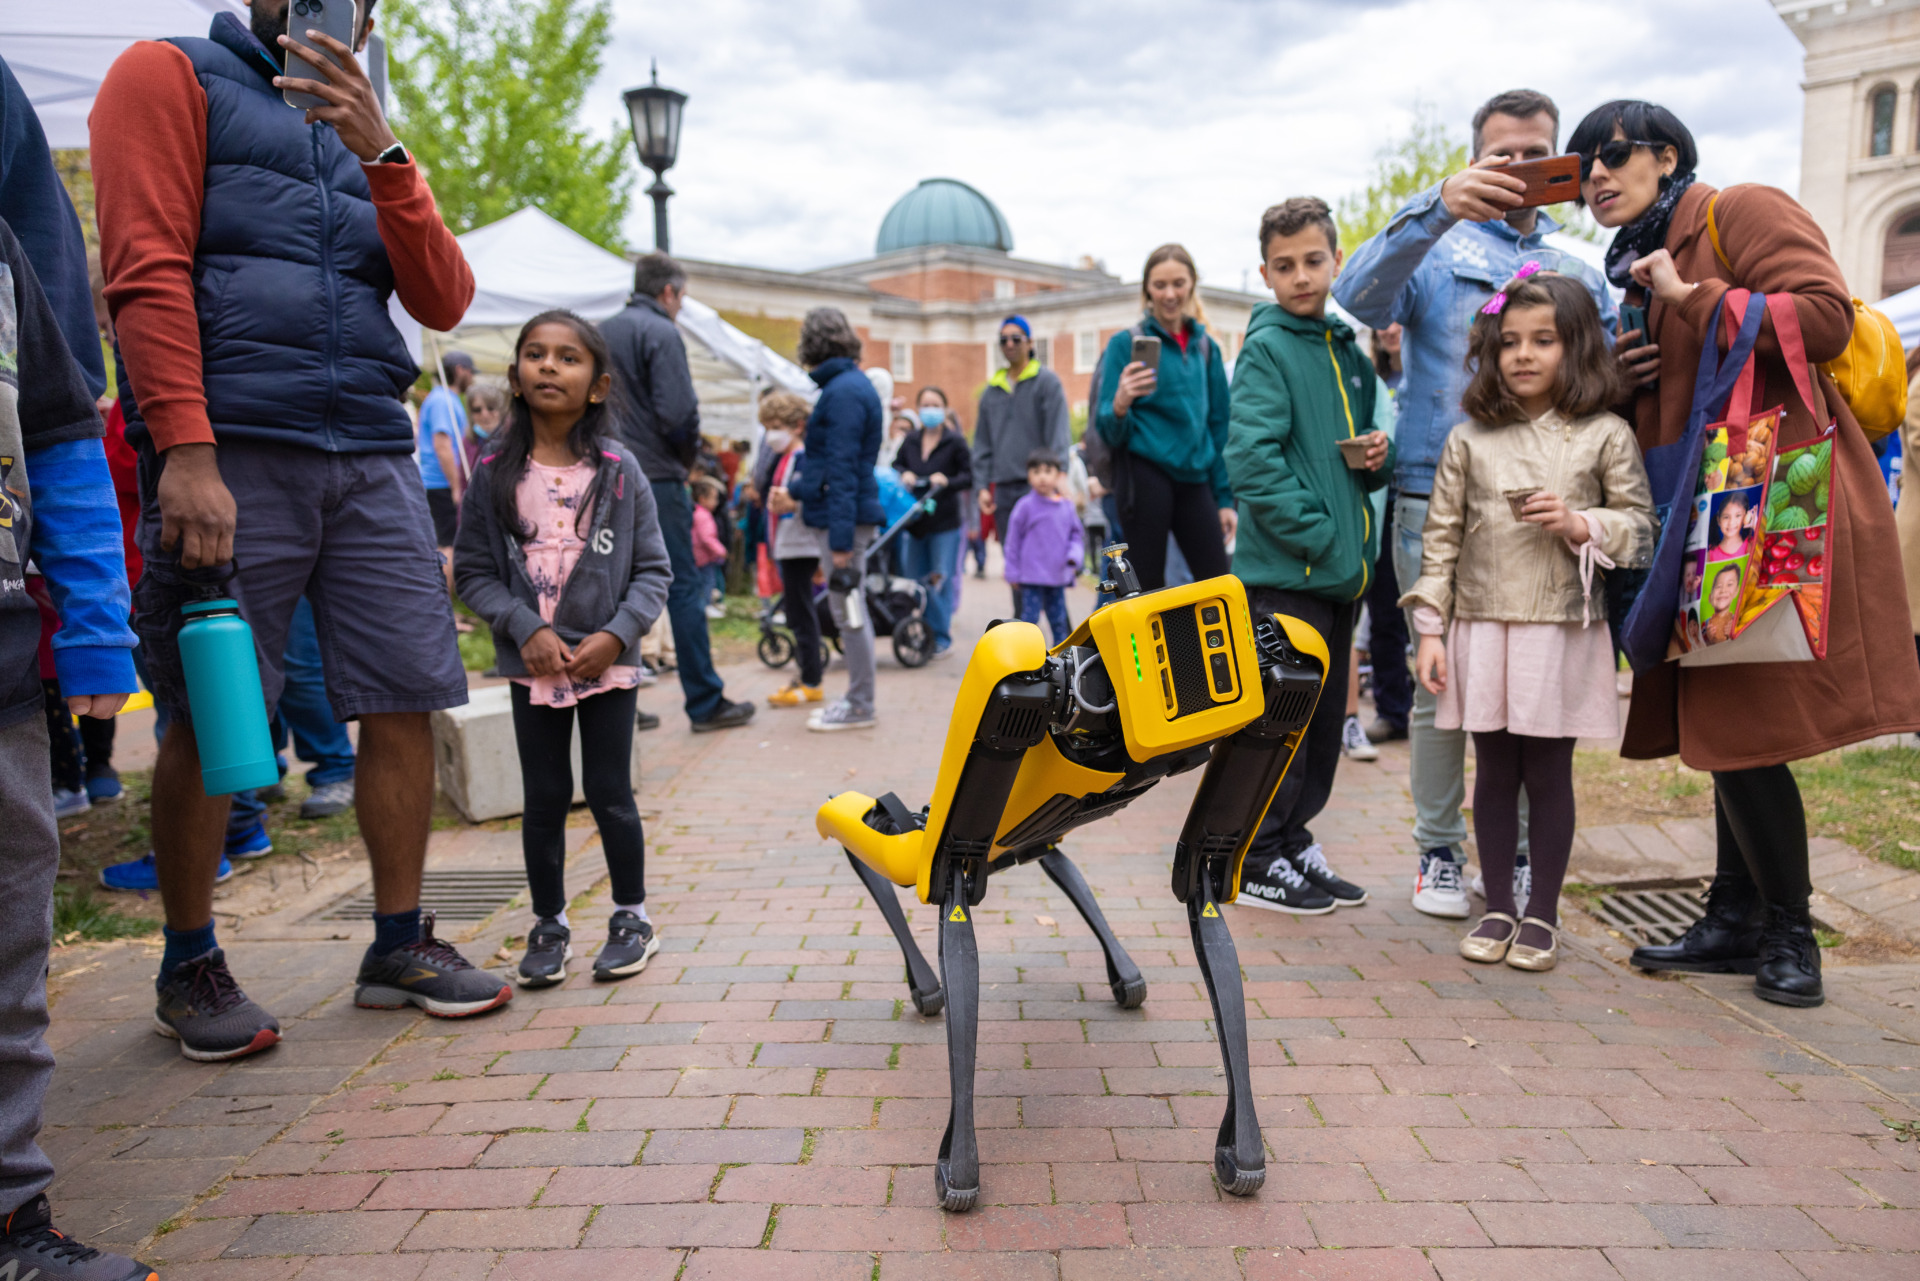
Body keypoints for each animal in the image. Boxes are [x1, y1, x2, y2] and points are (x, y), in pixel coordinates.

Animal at [817, 545, 1328, 1221]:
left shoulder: (1291, 676)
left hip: (1013, 840)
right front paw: (959, 1165)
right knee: (873, 831)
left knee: (1040, 854)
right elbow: (953, 908)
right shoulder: (1008, 683)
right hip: (931, 828)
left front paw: (1241, 1150)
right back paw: (924, 976)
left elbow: (1203, 891)